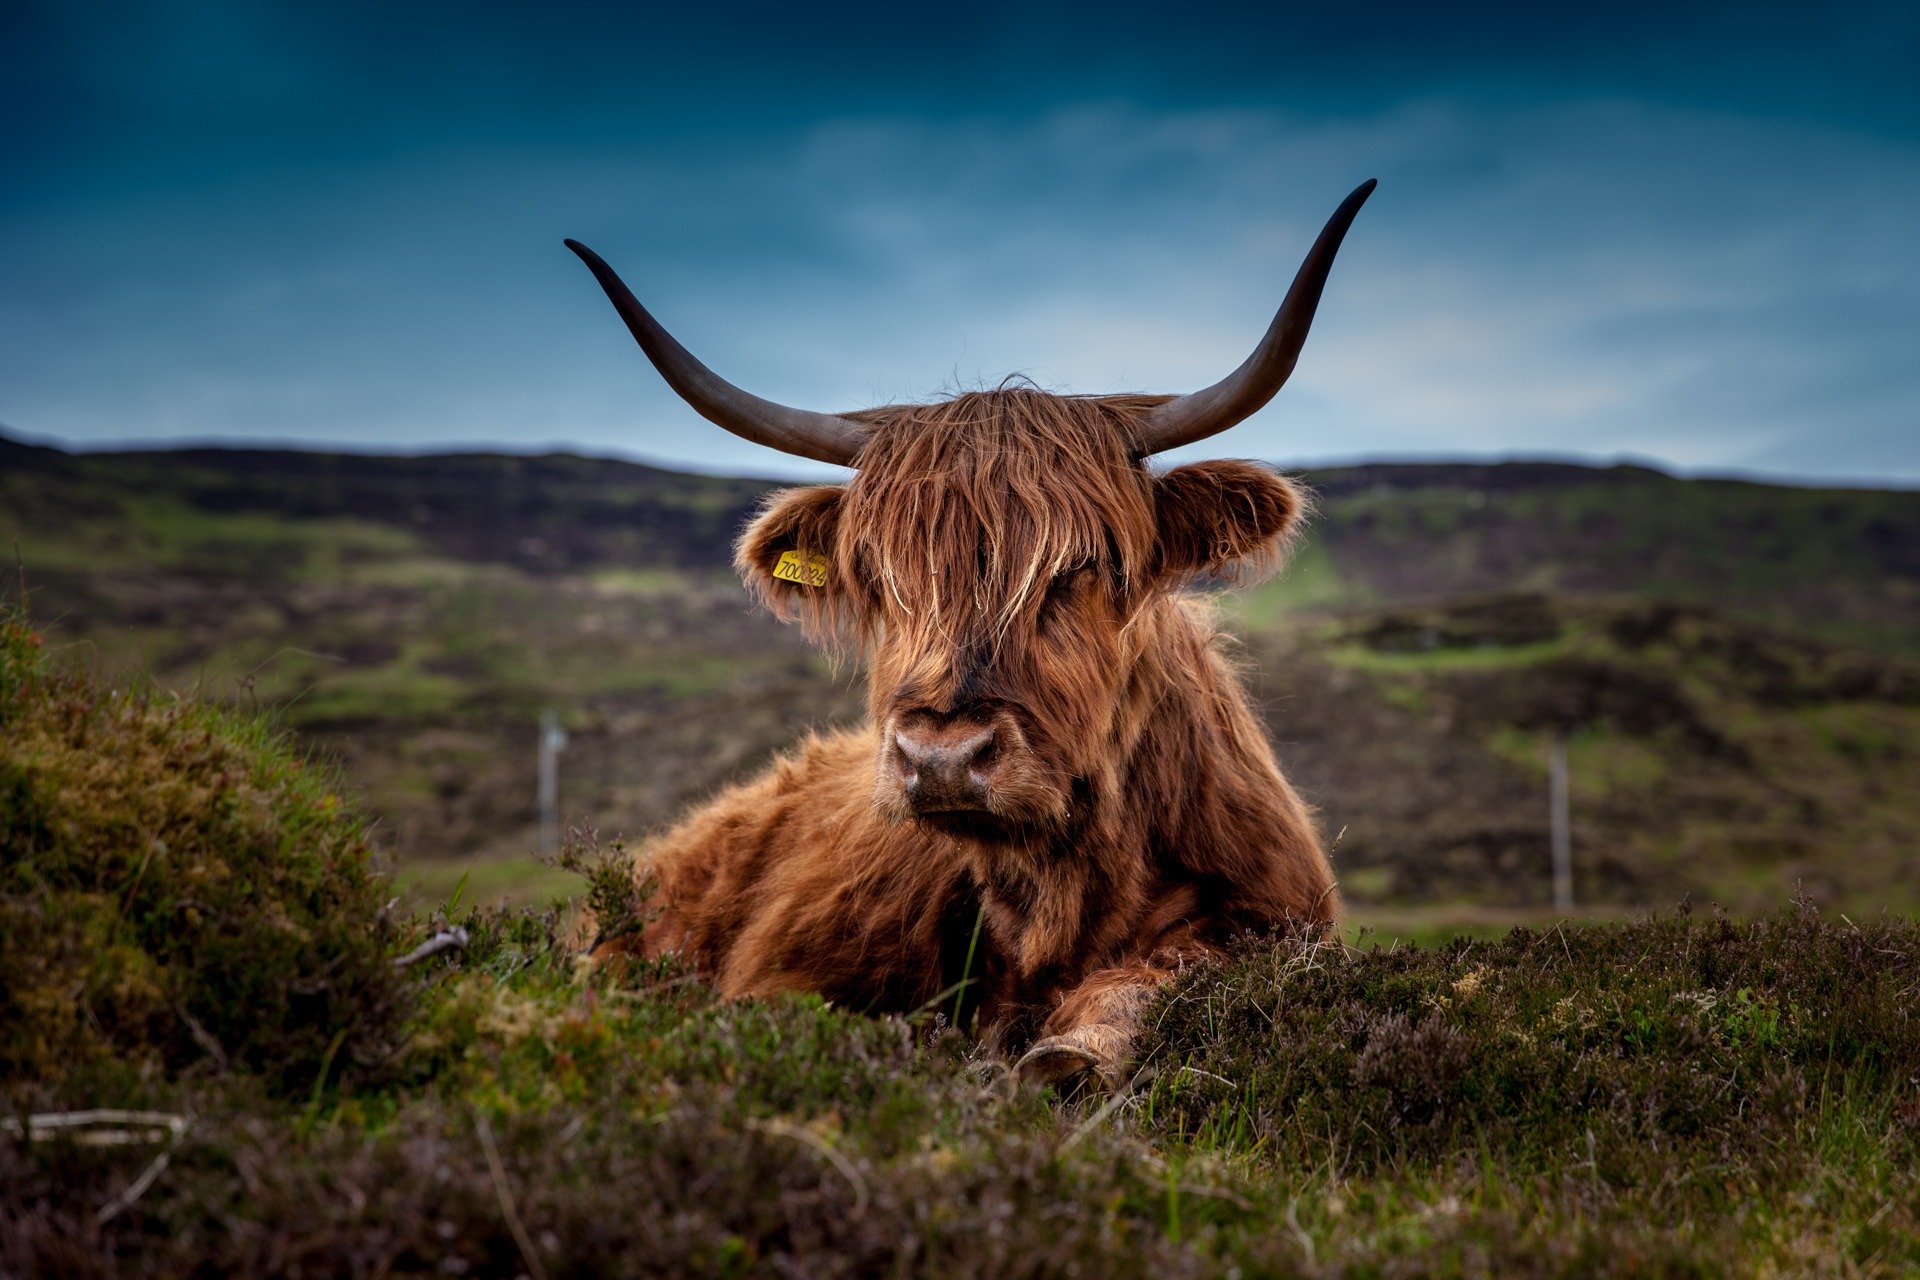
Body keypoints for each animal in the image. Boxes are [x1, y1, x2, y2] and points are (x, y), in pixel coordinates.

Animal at [560, 175, 1374, 1090]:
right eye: (881, 577)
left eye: (1083, 566)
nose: (942, 756)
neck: (1059, 895)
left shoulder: (1273, 920)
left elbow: (1163, 976)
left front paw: (1072, 1051)